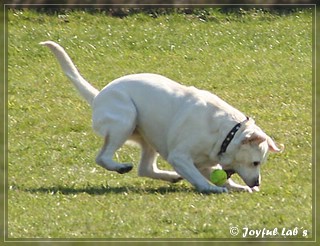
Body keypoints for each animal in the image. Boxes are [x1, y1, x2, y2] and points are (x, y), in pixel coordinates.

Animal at [40, 40, 282, 194]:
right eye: (255, 162)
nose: (256, 182)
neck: (226, 134)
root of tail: (98, 95)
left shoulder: (204, 162)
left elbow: (212, 173)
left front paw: (237, 187)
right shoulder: (180, 157)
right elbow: (198, 178)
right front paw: (212, 188)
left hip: (149, 137)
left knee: (145, 168)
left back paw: (170, 176)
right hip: (126, 120)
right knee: (102, 157)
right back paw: (120, 167)